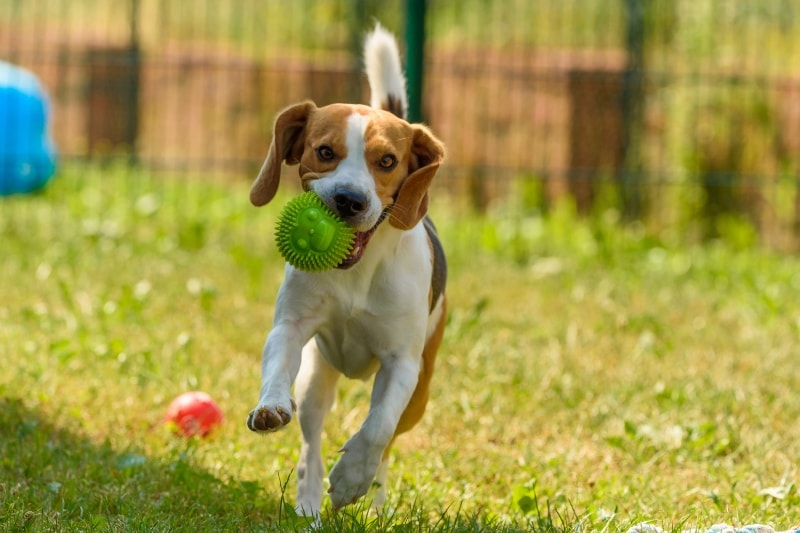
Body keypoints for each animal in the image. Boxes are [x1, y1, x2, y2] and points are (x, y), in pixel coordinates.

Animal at [247, 26, 446, 516]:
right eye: (324, 151)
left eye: (387, 161)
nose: (349, 200)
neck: (358, 271)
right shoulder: (291, 327)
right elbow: (276, 367)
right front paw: (270, 405)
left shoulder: (402, 364)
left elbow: (376, 428)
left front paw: (353, 477)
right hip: (316, 376)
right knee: (310, 440)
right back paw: (308, 503)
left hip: (420, 393)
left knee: (388, 439)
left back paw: (374, 498)